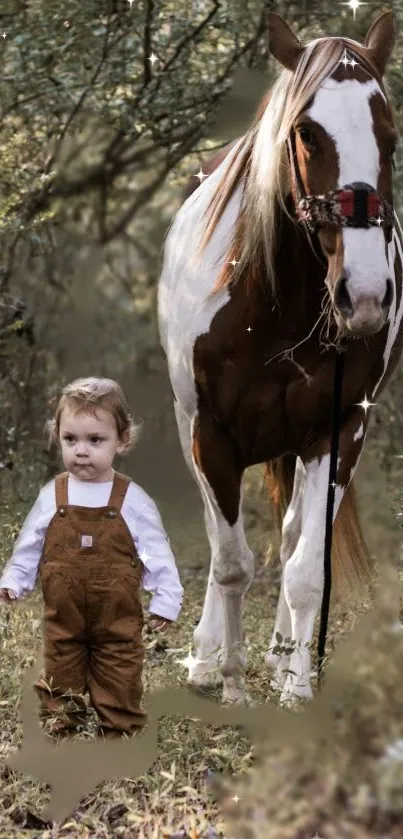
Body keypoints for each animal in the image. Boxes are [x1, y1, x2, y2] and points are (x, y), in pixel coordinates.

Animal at [158, 11, 403, 708]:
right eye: (306, 134)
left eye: (389, 135)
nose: (366, 295)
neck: (273, 301)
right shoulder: (210, 435)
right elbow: (231, 563)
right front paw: (231, 684)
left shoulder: (337, 430)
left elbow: (303, 567)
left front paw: (294, 689)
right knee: (222, 539)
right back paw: (208, 658)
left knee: (293, 535)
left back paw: (280, 657)